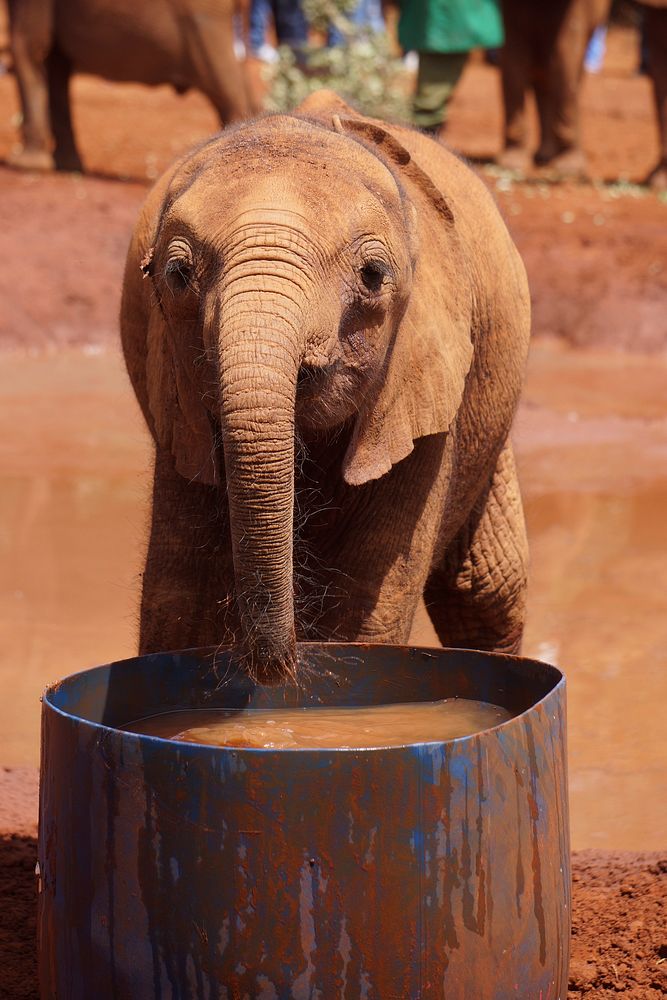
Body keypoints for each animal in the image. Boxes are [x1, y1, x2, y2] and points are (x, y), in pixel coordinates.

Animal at [7, 0, 253, 172]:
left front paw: (25, 165)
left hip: (203, 20)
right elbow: (56, 64)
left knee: (225, 87)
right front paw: (67, 166)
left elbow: (29, 47)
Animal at [121, 92, 532, 680]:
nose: (279, 664)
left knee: (486, 591)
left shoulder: (422, 390)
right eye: (177, 275)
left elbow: (365, 602)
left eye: (373, 276)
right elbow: (180, 601)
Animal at [500, 0, 612, 177]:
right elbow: (513, 61)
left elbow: (565, 54)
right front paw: (512, 162)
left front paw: (569, 169)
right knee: (543, 76)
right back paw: (543, 157)